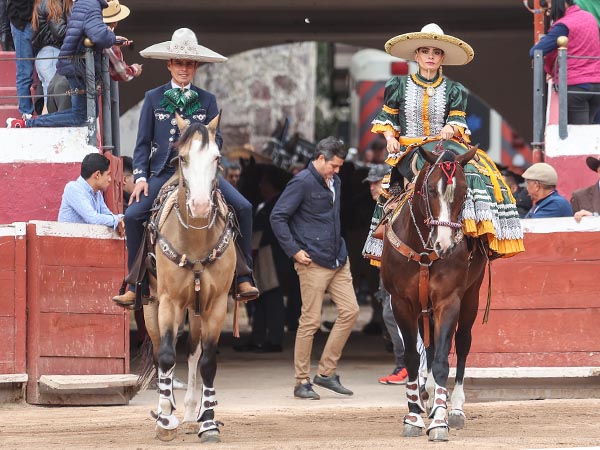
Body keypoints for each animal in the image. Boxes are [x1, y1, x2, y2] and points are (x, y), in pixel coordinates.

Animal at [139, 115, 236, 442]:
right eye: (182, 157)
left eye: (217, 158)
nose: (202, 206)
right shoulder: (169, 302)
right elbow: (167, 356)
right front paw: (165, 420)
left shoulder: (216, 304)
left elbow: (207, 361)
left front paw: (208, 423)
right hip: (151, 306)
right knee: (161, 351)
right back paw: (167, 407)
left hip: (196, 310)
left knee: (194, 353)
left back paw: (196, 411)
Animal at [384, 144, 488, 442]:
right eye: (430, 190)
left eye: (464, 191)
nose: (445, 244)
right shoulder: (402, 303)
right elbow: (412, 356)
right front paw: (414, 416)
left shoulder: (448, 301)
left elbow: (443, 359)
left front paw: (440, 421)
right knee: (427, 349)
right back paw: (427, 398)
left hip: (472, 295)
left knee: (462, 342)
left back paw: (455, 409)